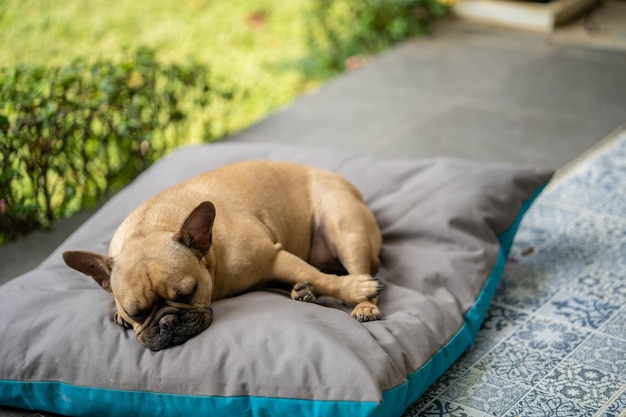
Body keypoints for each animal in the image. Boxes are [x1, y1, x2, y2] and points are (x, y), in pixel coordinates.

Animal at [66, 161, 382, 350]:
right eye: (137, 313)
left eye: (189, 292)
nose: (168, 322)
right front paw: (118, 316)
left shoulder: (273, 257)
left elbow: (324, 279)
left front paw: (355, 289)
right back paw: (302, 292)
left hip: (345, 230)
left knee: (355, 270)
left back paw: (363, 302)